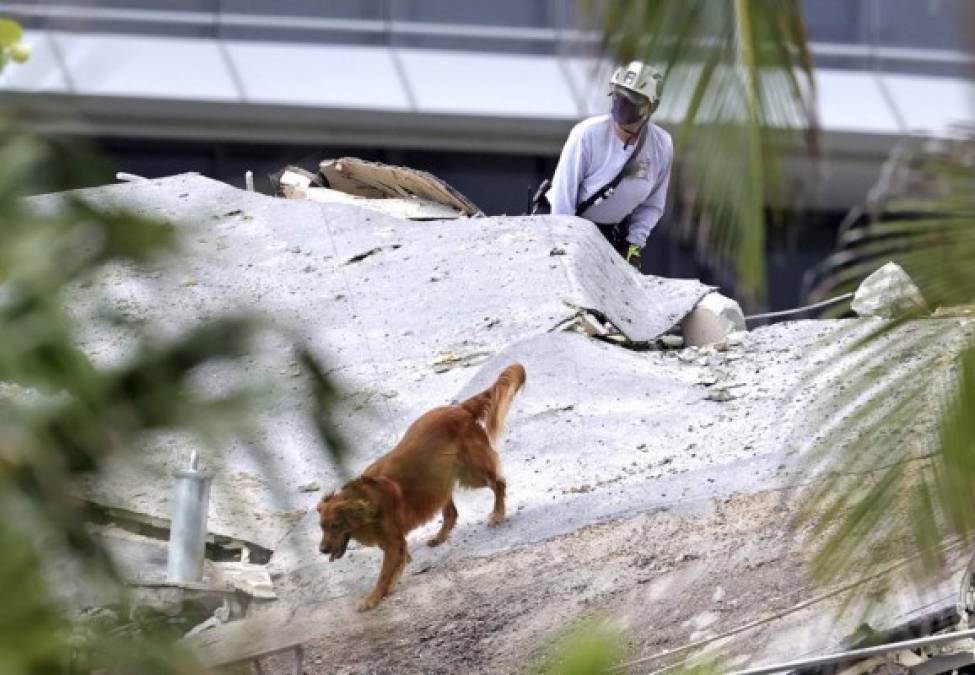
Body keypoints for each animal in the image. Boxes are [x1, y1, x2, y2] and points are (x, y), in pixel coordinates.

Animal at [318, 364, 528, 612]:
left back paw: (498, 513)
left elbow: (383, 574)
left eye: (335, 525)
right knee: (451, 512)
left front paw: (372, 598)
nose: (322, 550)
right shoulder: (393, 542)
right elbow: (395, 567)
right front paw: (387, 588)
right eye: (322, 527)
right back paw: (440, 537)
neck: (367, 500)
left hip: (471, 473)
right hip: (438, 478)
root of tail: (460, 409)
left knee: (498, 483)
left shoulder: (393, 543)